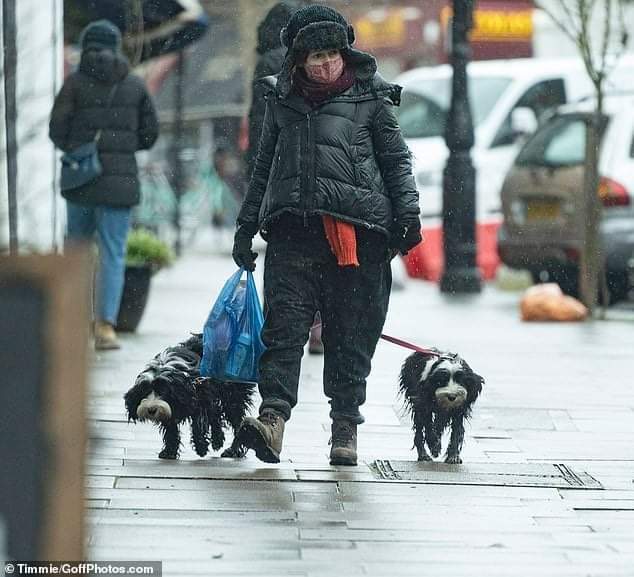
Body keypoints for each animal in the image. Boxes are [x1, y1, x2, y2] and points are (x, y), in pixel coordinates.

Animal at [122, 332, 253, 460]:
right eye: (145, 391)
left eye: (162, 391)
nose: (151, 410)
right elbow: (171, 427)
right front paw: (169, 451)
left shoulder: (200, 399)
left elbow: (199, 424)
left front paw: (201, 447)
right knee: (216, 414)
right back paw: (218, 441)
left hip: (233, 396)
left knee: (236, 420)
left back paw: (234, 450)